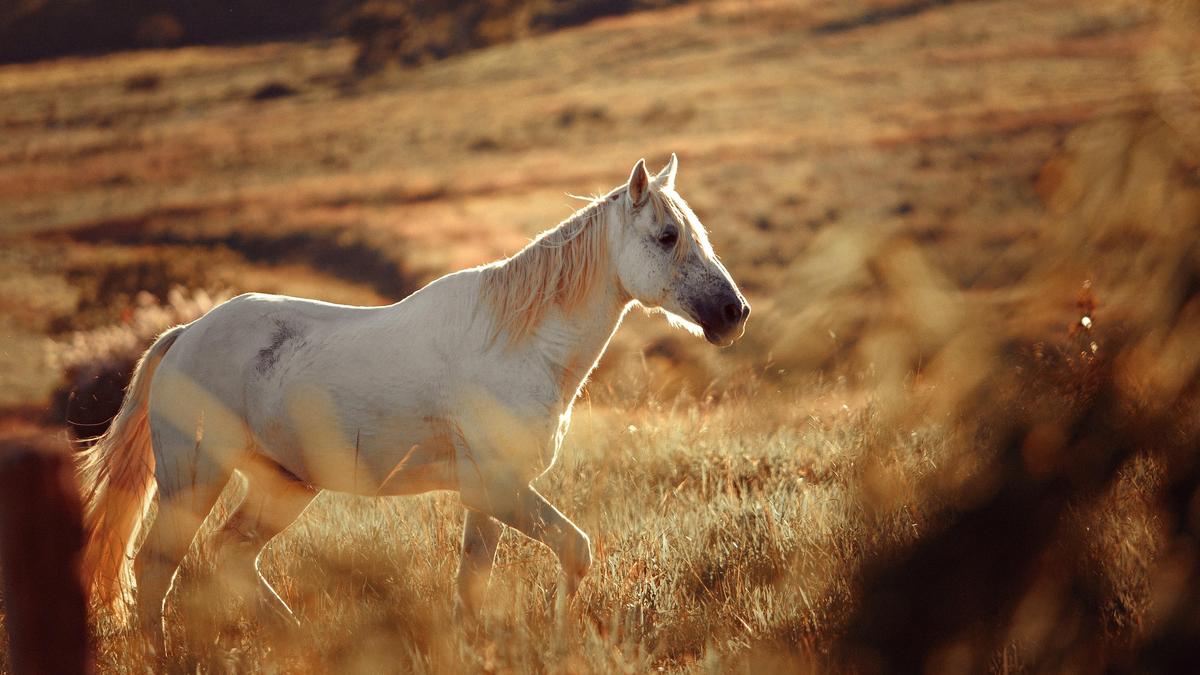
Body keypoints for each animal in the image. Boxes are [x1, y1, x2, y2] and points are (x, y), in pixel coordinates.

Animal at [77, 154, 748, 643]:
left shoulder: (488, 498)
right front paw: (563, 639)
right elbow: (575, 551)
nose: (733, 314)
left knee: (230, 558)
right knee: (155, 569)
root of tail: (184, 335)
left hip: (282, 486)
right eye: (667, 236)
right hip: (194, 479)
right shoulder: (497, 489)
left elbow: (472, 587)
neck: (518, 344)